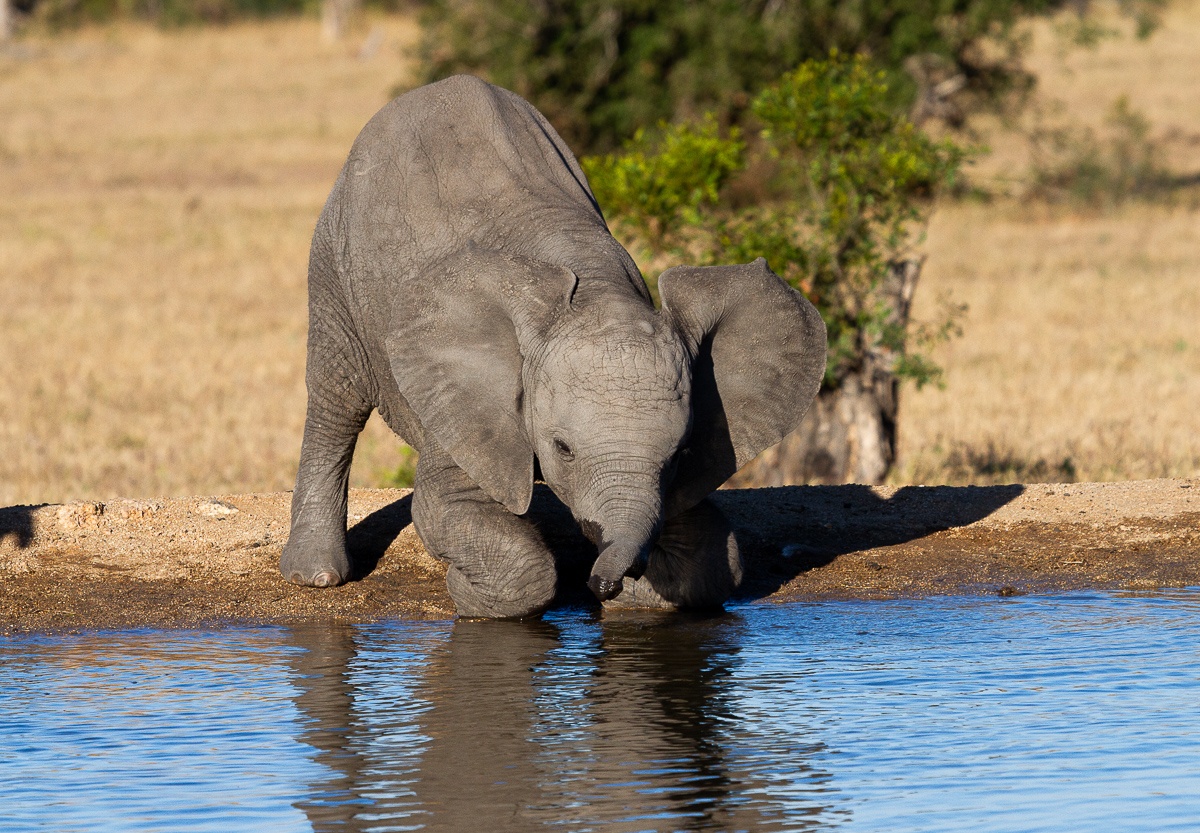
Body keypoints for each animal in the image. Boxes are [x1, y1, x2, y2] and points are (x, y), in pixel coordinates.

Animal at [281, 74, 827, 618]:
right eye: (563, 449)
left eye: (679, 453)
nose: (602, 585)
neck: (598, 291)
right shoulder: (463, 395)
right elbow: (447, 505)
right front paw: (468, 598)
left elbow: (712, 555)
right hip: (332, 259)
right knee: (337, 397)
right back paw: (317, 576)